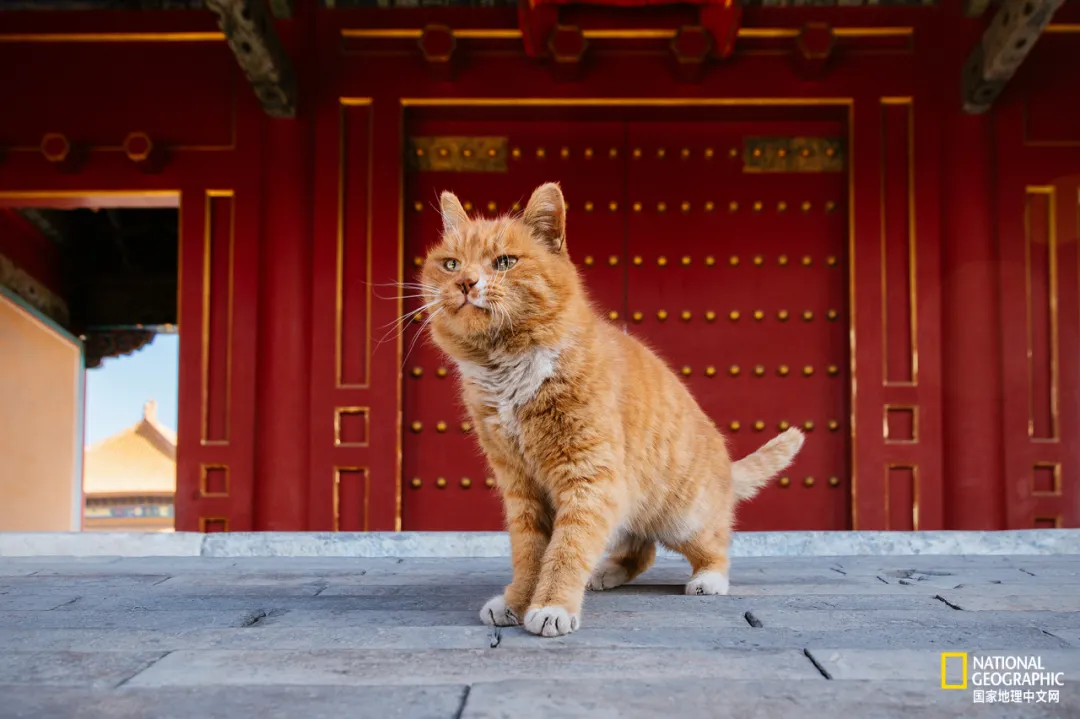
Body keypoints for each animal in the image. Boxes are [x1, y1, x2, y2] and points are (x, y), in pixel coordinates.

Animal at [419, 182, 803, 634]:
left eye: (504, 262)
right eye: (451, 264)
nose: (465, 282)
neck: (507, 368)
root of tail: (726, 467)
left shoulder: (588, 477)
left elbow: (567, 548)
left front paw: (551, 605)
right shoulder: (520, 486)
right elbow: (529, 552)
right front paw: (516, 601)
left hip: (683, 517)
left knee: (713, 545)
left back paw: (708, 578)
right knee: (641, 549)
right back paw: (606, 572)